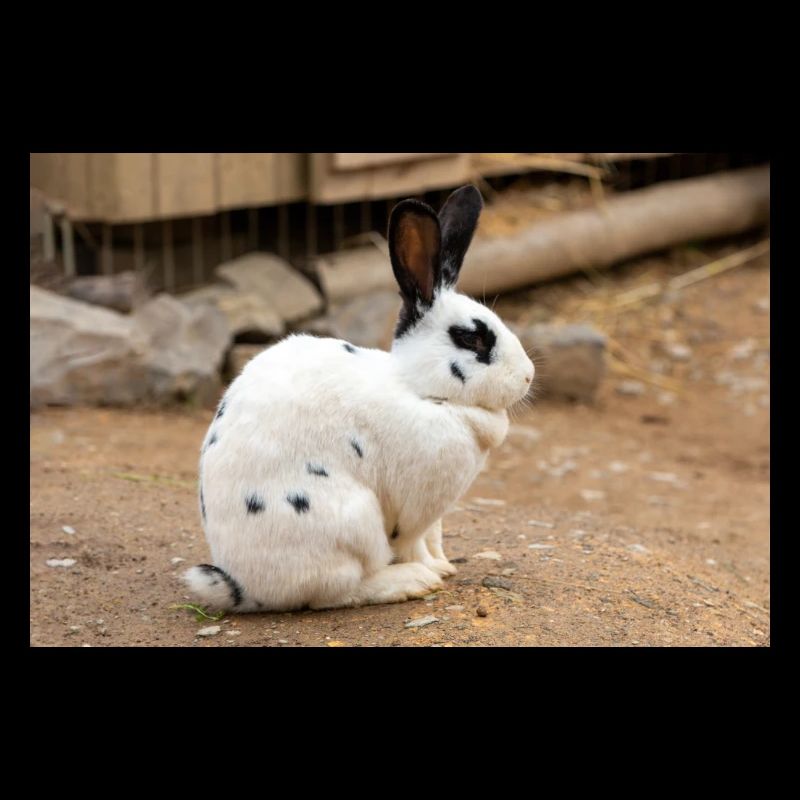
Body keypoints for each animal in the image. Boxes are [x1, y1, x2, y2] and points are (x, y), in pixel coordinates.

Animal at [183, 185, 534, 612]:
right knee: (337, 591)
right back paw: (410, 581)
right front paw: (431, 572)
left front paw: (444, 565)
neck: (422, 391)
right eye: (472, 338)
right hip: (354, 521)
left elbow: (433, 539)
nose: (528, 376)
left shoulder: (434, 517)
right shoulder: (414, 510)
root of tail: (242, 585)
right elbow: (413, 543)